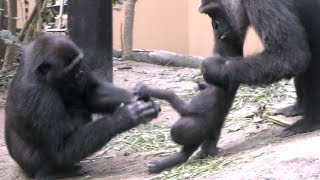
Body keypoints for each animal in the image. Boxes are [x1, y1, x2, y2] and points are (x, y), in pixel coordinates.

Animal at [4, 34, 159, 179]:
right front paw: (126, 116)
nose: (80, 75)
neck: (40, 77)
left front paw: (140, 99)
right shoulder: (37, 97)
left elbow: (92, 92)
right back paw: (55, 173)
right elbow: (59, 150)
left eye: (78, 65)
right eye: (69, 72)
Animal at [200, 0, 320, 136]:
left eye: (213, 12)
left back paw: (311, 121)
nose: (215, 26)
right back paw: (299, 108)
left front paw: (214, 68)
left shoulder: (263, 3)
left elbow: (290, 56)